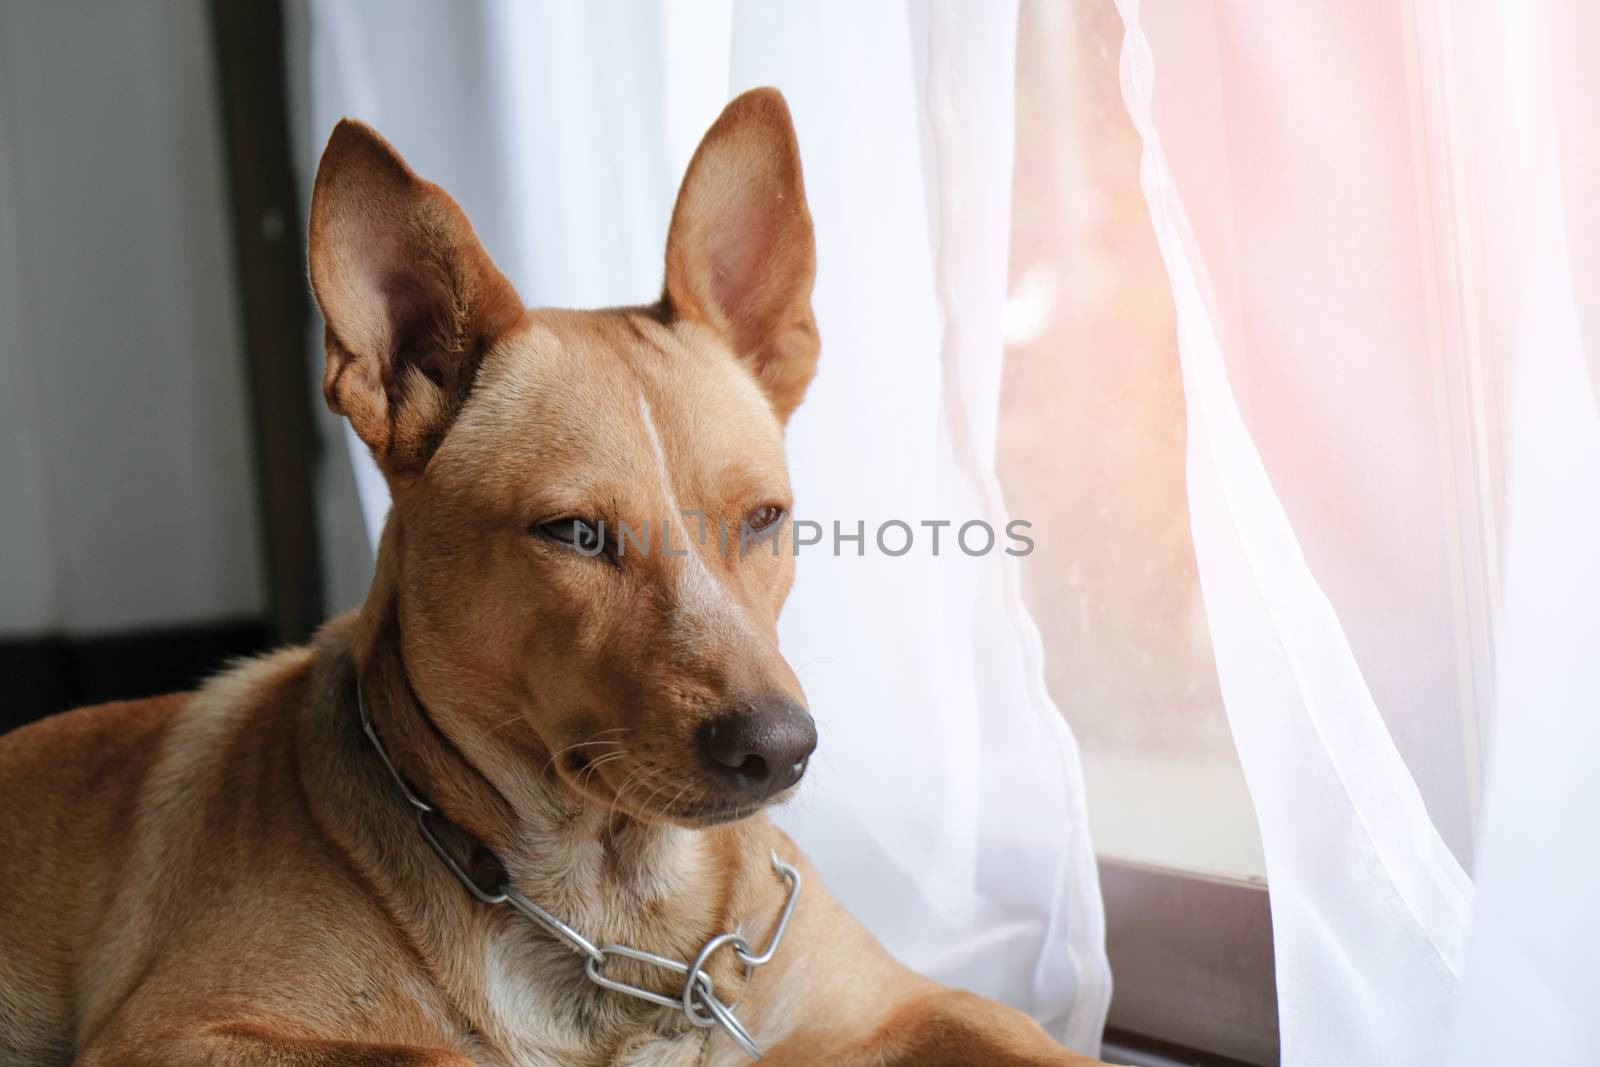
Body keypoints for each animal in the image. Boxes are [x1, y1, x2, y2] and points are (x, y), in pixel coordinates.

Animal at [0, 87, 1100, 1062]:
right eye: (572, 532)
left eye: (764, 518)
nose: (780, 750)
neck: (626, 915)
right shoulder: (180, 1030)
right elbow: (437, 1055)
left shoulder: (912, 1001)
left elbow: (1030, 1037)